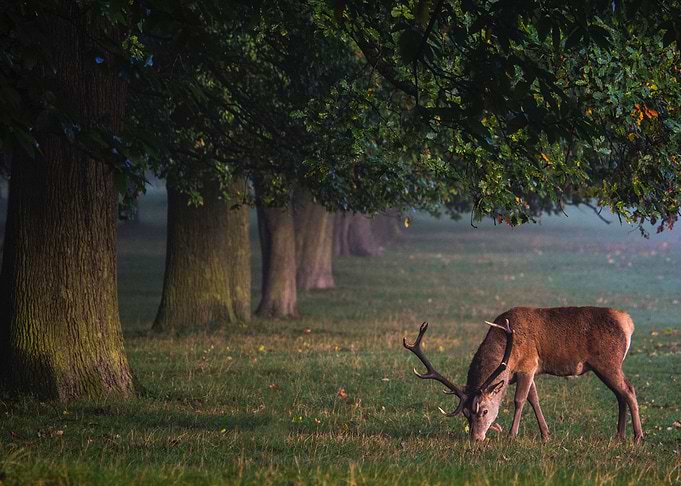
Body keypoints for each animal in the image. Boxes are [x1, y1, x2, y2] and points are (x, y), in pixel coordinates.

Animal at [403, 307, 643, 443]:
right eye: (466, 414)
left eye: (484, 411)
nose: (476, 438)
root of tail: (628, 322)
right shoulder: (526, 371)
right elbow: (533, 399)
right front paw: (546, 435)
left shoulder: (528, 364)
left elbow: (519, 400)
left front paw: (512, 435)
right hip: (603, 366)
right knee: (619, 394)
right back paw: (620, 435)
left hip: (608, 361)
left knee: (629, 390)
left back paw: (638, 436)